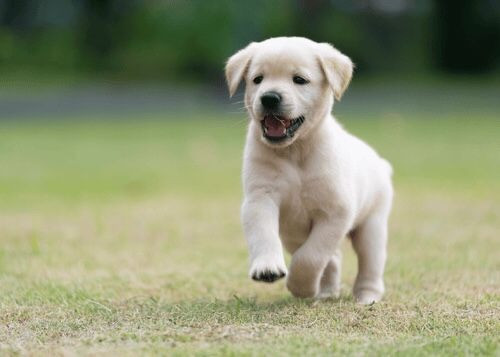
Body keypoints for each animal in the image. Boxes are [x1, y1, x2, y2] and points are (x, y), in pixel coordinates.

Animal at [225, 36, 392, 304]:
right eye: (257, 79)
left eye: (299, 80)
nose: (269, 97)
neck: (296, 152)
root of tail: (380, 163)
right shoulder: (260, 198)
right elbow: (263, 234)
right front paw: (268, 267)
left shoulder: (336, 213)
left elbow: (311, 256)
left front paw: (301, 286)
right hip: (293, 234)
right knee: (332, 260)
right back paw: (326, 291)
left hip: (373, 225)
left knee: (369, 264)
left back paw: (367, 297)